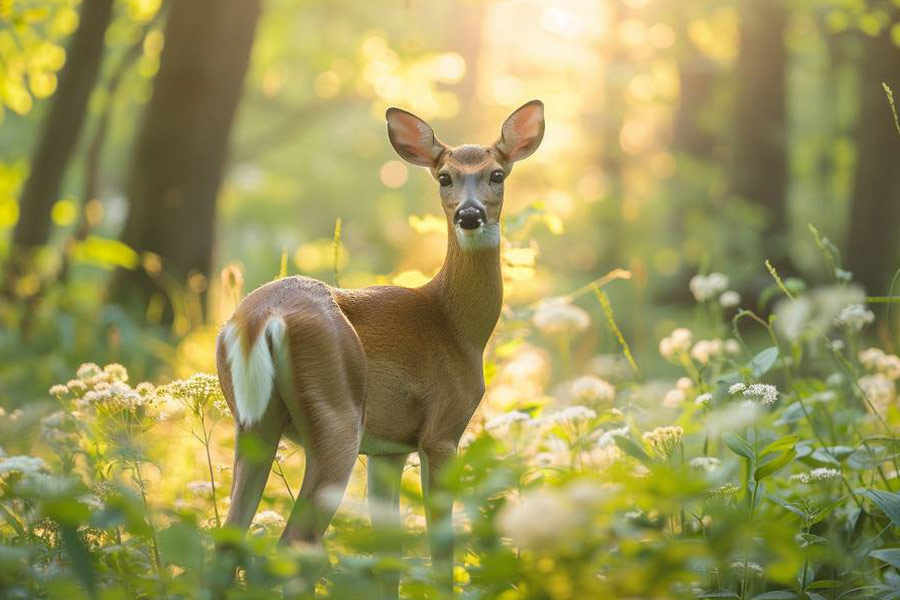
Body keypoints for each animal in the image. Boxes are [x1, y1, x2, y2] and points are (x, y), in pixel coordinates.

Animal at [215, 100, 545, 594]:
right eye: (444, 177)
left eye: (497, 174)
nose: (469, 215)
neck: (456, 325)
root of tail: (260, 318)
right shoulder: (442, 430)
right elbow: (439, 547)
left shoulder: (389, 449)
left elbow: (389, 555)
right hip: (337, 415)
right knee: (296, 542)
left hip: (252, 422)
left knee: (226, 537)